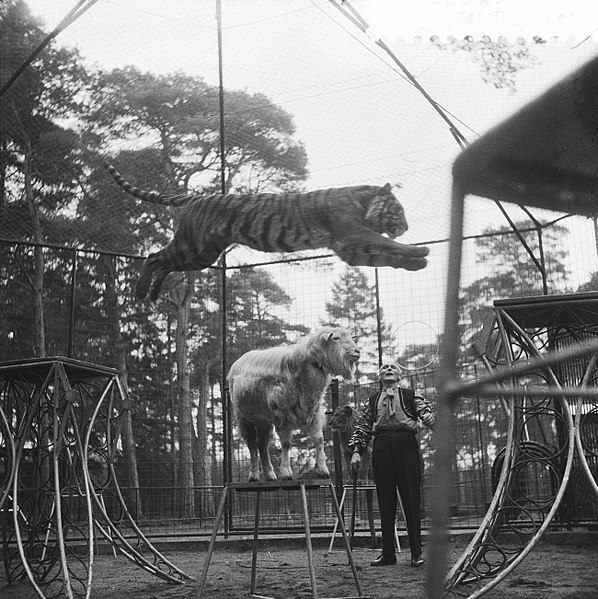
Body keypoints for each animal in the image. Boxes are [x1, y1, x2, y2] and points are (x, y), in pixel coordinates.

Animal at [104, 163, 432, 300]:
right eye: (398, 209)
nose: (406, 226)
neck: (363, 203)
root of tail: (192, 197)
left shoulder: (350, 249)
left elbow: (386, 257)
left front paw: (417, 264)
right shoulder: (353, 235)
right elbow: (387, 245)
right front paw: (420, 250)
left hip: (201, 255)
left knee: (164, 263)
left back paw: (153, 294)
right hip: (190, 245)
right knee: (153, 257)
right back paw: (141, 291)